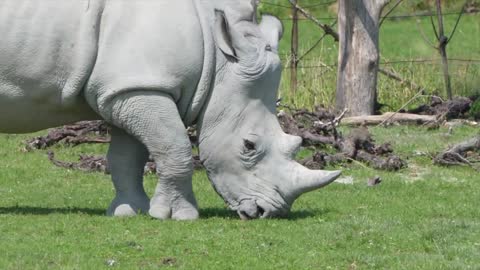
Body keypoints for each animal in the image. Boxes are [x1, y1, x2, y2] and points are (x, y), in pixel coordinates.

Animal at [0, 0, 342, 219]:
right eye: (249, 146)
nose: (266, 212)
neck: (217, 57)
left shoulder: (130, 87)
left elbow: (128, 157)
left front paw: (131, 212)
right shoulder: (141, 87)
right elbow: (175, 147)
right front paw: (181, 216)